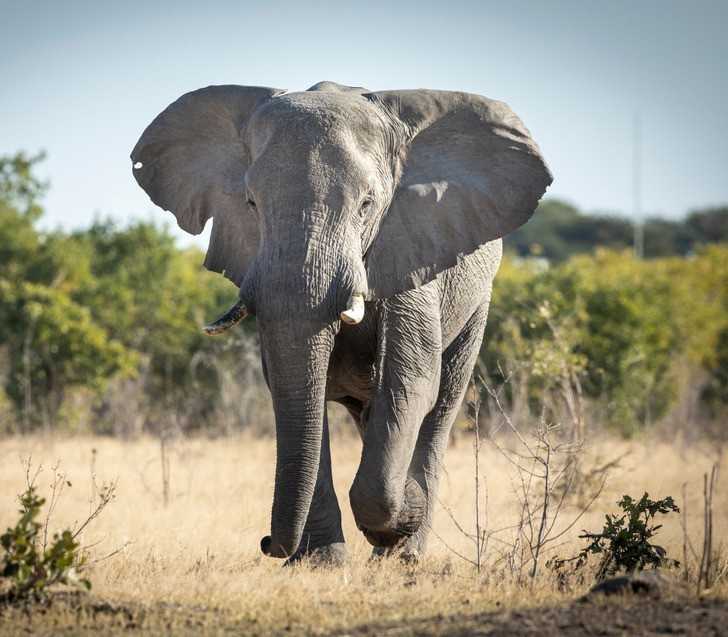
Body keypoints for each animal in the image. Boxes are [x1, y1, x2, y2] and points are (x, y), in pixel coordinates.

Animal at [131, 79, 552, 560]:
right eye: (251, 203)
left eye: (367, 204)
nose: (267, 544)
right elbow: (291, 389)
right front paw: (320, 563)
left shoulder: (411, 248)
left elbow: (409, 381)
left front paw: (401, 518)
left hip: (477, 303)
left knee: (441, 405)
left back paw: (407, 550)